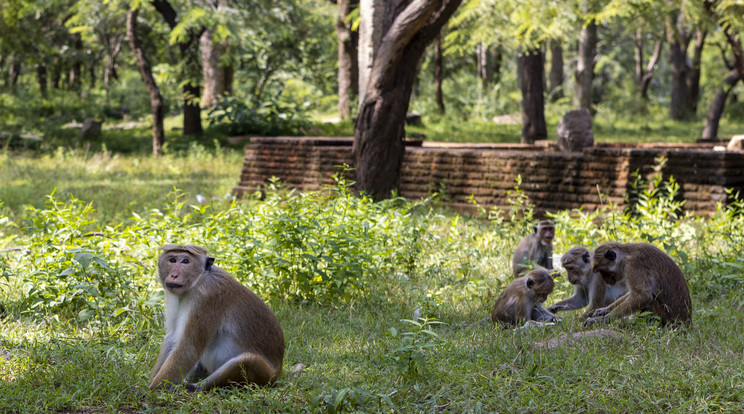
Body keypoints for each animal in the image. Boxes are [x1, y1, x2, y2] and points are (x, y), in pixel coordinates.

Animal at [148, 244, 284, 390]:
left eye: (185, 261)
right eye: (172, 260)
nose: (174, 275)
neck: (198, 281)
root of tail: (278, 373)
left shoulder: (208, 297)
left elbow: (189, 349)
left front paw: (151, 390)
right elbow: (172, 337)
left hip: (265, 375)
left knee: (248, 360)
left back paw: (194, 388)